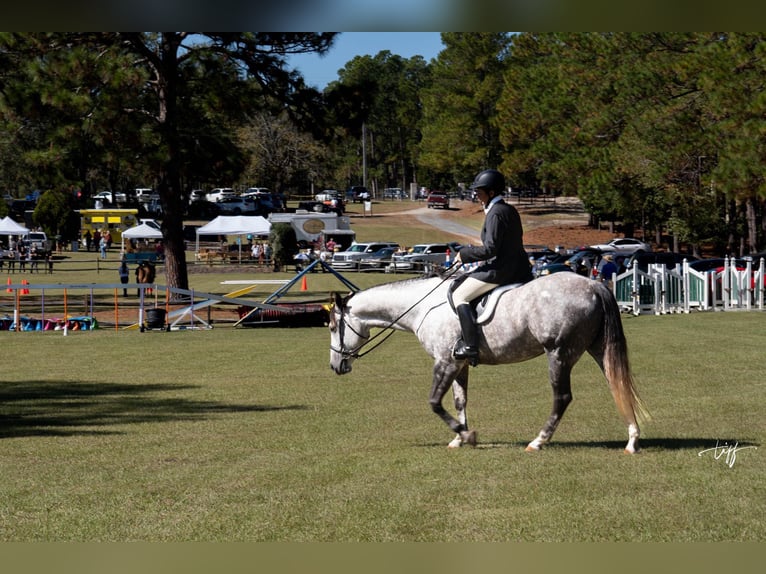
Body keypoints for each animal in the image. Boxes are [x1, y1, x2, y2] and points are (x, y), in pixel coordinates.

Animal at [328, 272, 652, 456]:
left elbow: (434, 402)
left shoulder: (445, 361)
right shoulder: (459, 364)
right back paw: (632, 441)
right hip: (598, 349)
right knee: (618, 385)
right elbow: (460, 401)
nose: (335, 367)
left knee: (562, 397)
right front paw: (459, 438)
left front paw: (466, 435)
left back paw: (538, 441)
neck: (422, 307)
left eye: (332, 326)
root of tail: (594, 285)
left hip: (559, 353)